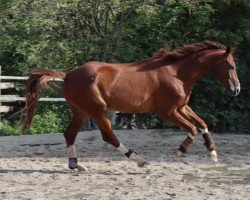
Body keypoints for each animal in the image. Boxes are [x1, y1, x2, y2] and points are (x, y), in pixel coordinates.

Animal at [22, 40, 240, 170]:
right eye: (231, 65)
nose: (236, 89)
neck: (176, 74)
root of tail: (68, 76)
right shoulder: (167, 112)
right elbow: (193, 129)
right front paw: (178, 152)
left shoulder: (182, 107)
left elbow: (202, 124)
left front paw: (213, 153)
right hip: (97, 110)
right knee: (108, 136)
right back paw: (138, 159)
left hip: (81, 112)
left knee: (70, 134)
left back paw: (76, 165)